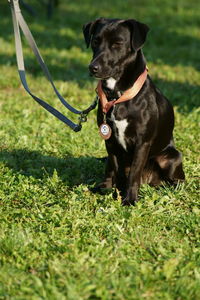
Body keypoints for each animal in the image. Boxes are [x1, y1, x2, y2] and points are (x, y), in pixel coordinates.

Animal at [82, 17, 184, 205]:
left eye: (117, 43)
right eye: (95, 41)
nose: (93, 67)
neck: (118, 95)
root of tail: (150, 180)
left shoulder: (142, 143)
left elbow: (134, 174)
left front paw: (129, 199)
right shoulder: (110, 141)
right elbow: (113, 168)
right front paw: (109, 190)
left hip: (171, 157)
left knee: (177, 180)